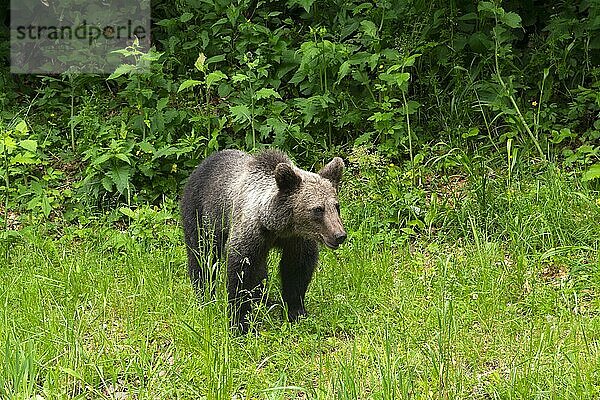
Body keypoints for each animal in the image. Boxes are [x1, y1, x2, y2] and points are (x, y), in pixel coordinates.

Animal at [180, 149, 344, 332]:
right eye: (318, 209)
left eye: (336, 206)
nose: (339, 235)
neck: (278, 227)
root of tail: (204, 162)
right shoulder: (251, 233)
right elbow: (241, 273)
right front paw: (240, 323)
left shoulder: (297, 240)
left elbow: (297, 270)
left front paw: (296, 312)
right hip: (201, 213)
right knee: (202, 256)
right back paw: (205, 295)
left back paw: (264, 300)